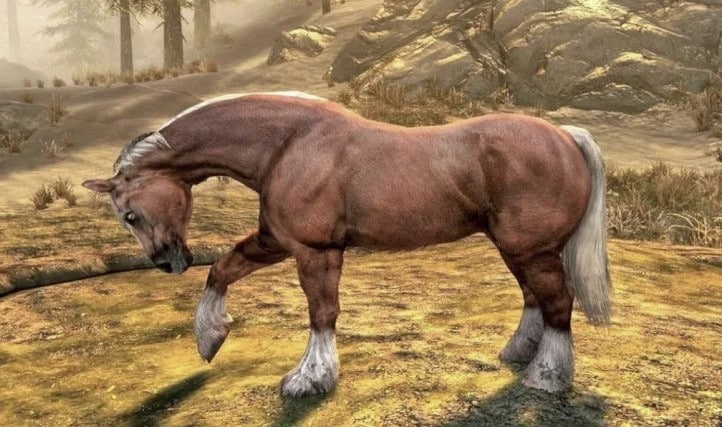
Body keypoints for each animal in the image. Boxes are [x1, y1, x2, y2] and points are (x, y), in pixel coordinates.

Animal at [82, 91, 611, 397]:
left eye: (129, 214)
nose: (167, 263)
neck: (287, 144)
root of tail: (565, 136)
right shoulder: (277, 241)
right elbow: (224, 269)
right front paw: (210, 339)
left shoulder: (314, 250)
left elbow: (322, 312)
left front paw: (308, 379)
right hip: (517, 249)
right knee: (535, 300)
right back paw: (519, 356)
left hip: (531, 249)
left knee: (558, 303)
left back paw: (547, 378)